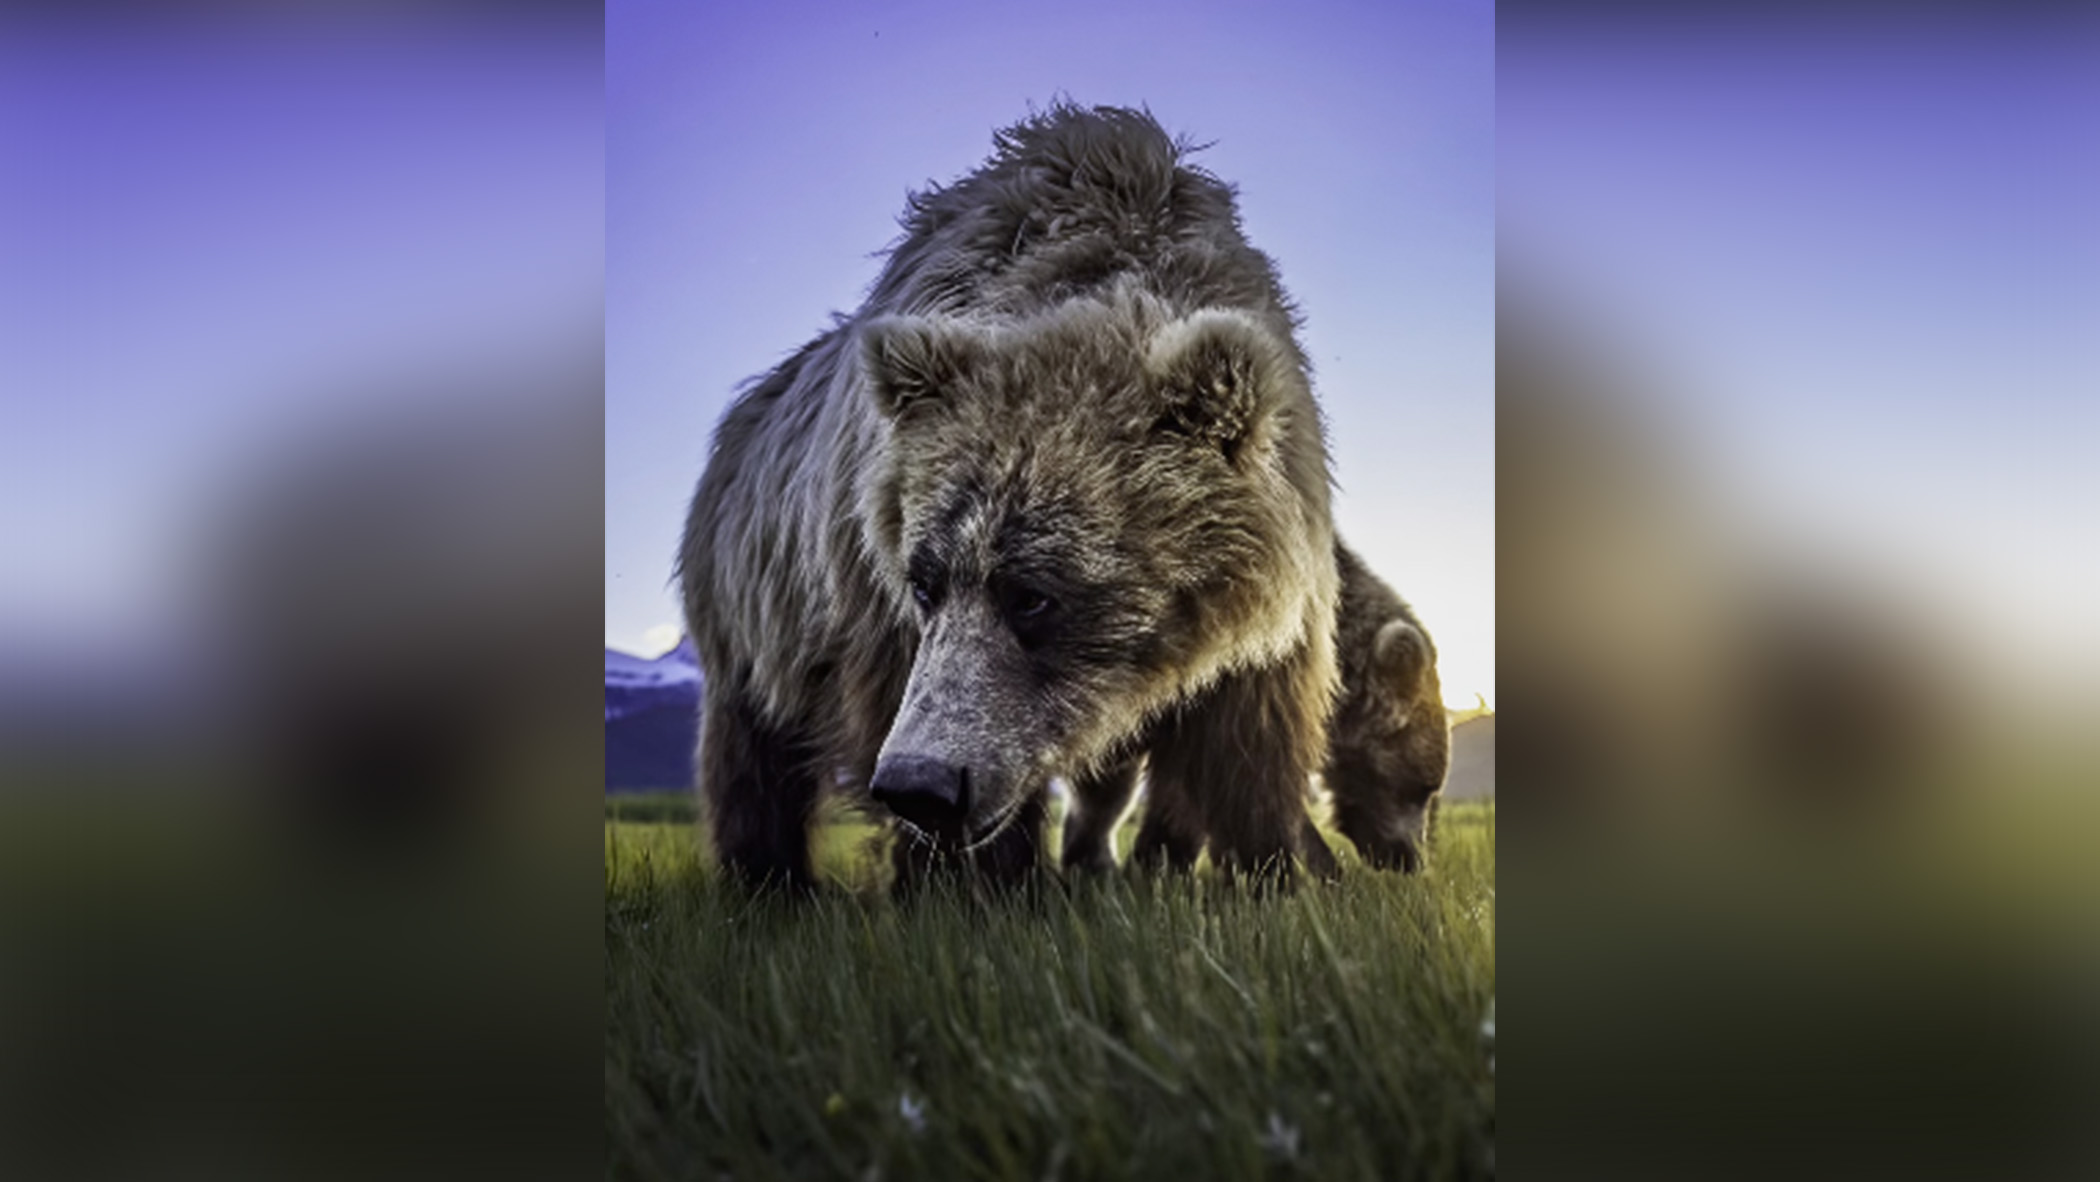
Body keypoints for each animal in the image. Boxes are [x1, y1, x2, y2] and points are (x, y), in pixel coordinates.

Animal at [677, 105, 1342, 892]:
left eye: (1033, 595)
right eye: (924, 584)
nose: (920, 783)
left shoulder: (1277, 591)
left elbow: (1252, 743)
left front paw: (1286, 867)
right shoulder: (874, 599)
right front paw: (982, 884)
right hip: (751, 607)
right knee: (753, 754)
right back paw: (770, 878)